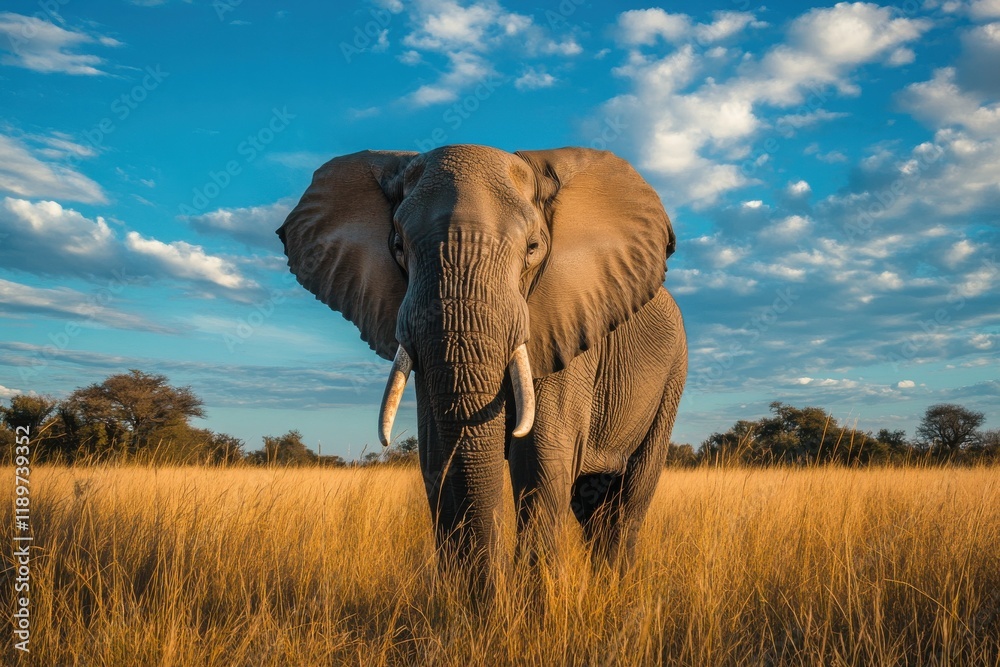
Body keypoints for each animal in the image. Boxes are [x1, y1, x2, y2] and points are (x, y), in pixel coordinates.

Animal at [277, 144, 687, 581]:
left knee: (629, 501)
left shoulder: (568, 324)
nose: (494, 589)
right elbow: (437, 454)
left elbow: (540, 457)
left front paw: (531, 599)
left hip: (672, 376)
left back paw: (616, 585)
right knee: (592, 505)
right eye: (399, 246)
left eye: (533, 248)